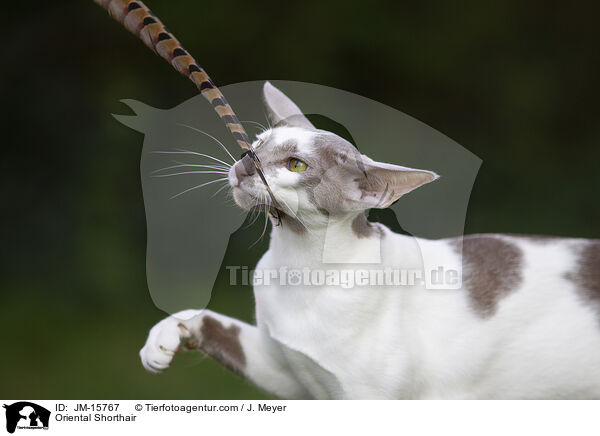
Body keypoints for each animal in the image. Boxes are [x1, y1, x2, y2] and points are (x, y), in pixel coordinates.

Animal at [139, 81, 600, 398]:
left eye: (295, 164)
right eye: (257, 145)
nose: (244, 164)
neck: (300, 267)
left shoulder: (366, 398)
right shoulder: (284, 371)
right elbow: (208, 318)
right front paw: (164, 337)